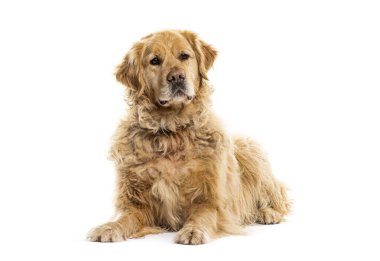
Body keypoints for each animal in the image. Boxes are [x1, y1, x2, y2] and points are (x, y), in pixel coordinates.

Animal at [87, 30, 290, 244]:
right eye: (155, 61)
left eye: (184, 56)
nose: (176, 77)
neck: (172, 130)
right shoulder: (136, 202)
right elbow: (124, 216)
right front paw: (109, 227)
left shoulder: (211, 200)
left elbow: (202, 215)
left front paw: (194, 230)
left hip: (250, 150)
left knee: (278, 195)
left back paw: (269, 213)